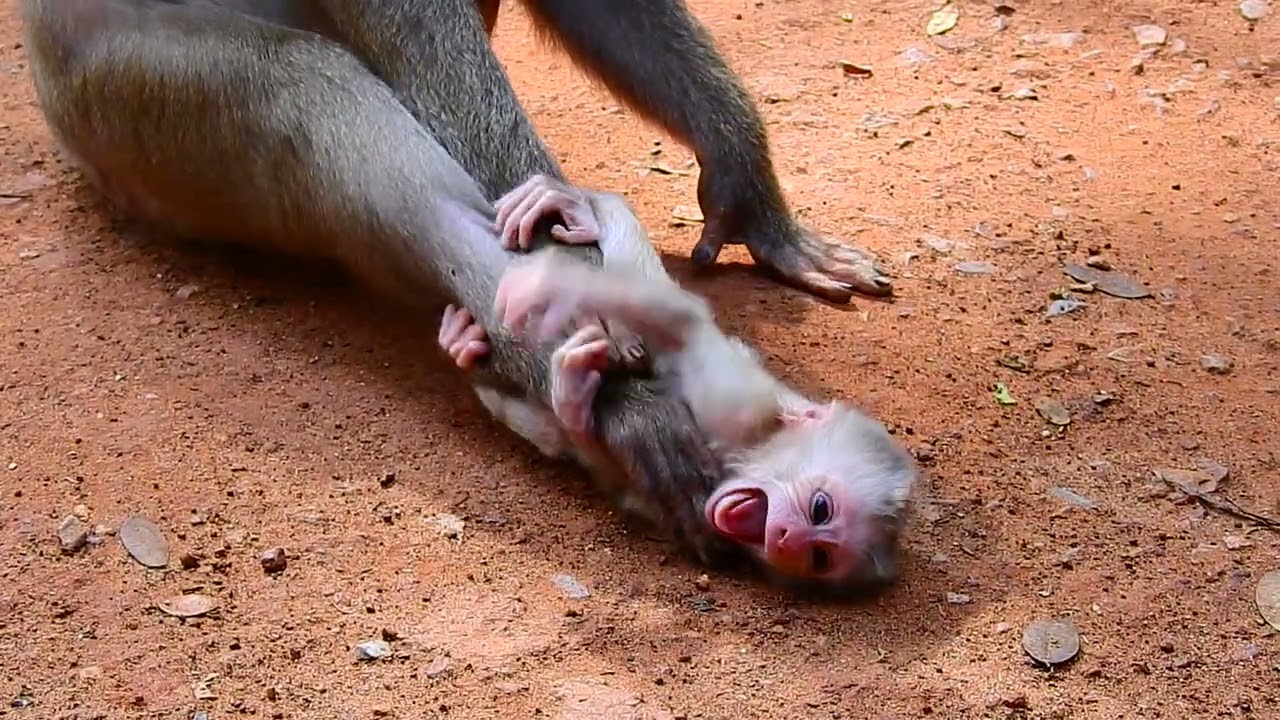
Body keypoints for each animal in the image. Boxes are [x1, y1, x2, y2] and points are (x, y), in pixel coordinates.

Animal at [440, 175, 918, 591]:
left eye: (818, 558)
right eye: (821, 509)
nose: (786, 539)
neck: (746, 454)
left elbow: (593, 452)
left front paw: (571, 395)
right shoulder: (740, 402)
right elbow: (680, 320)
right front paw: (545, 288)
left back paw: (465, 347)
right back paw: (580, 210)